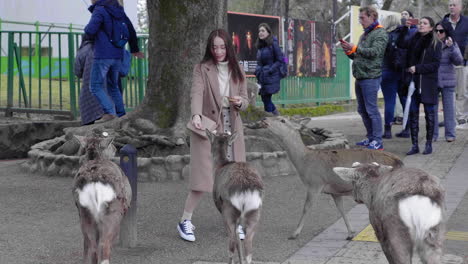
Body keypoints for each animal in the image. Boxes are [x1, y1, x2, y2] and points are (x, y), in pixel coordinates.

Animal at [207, 129, 266, 264]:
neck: (219, 166)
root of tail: (246, 190)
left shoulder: (221, 209)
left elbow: (237, 240)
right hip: (255, 213)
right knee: (248, 244)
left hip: (229, 211)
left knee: (232, 242)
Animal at [262, 116, 404, 240]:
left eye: (282, 120)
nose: (265, 118)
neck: (304, 163)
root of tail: (399, 162)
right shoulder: (335, 190)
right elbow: (340, 209)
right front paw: (350, 233)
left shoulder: (315, 183)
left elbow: (306, 207)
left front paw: (294, 234)